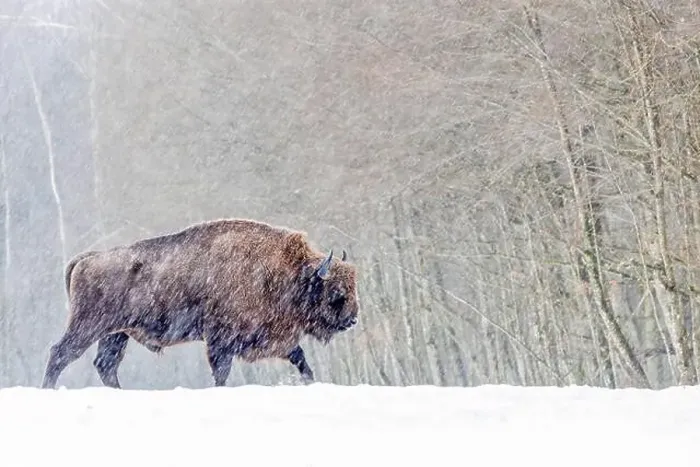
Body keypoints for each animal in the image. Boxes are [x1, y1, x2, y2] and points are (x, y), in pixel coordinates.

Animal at [41, 218, 359, 389]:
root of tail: (88, 258)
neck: (282, 272)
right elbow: (221, 372)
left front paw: (311, 382)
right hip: (89, 325)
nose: (353, 319)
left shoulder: (275, 340)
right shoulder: (220, 340)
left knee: (105, 364)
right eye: (335, 291)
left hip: (116, 334)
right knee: (61, 353)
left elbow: (301, 359)